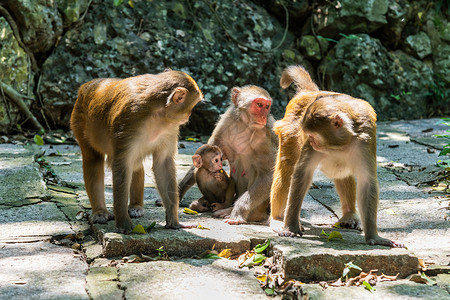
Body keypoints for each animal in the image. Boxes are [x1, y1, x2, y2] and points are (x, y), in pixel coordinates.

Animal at [70, 69, 202, 232]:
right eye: (192, 105)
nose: (189, 115)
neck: (158, 112)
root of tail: (86, 85)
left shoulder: (171, 128)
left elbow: (163, 163)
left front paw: (173, 221)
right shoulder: (129, 118)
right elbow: (122, 163)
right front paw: (123, 224)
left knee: (136, 164)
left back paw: (135, 206)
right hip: (78, 121)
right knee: (93, 161)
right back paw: (100, 211)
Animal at [178, 85, 278, 224]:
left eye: (267, 106)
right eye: (259, 104)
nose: (263, 117)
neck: (244, 125)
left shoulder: (264, 135)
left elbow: (268, 174)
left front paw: (238, 212)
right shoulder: (226, 122)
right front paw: (177, 194)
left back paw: (246, 213)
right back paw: (202, 204)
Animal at [270, 65, 404, 246]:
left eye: (313, 135)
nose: (311, 142)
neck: (341, 143)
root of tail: (310, 93)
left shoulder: (366, 138)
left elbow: (367, 181)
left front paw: (374, 237)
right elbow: (301, 174)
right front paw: (290, 227)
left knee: (342, 172)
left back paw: (349, 215)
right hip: (288, 130)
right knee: (287, 168)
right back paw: (278, 218)